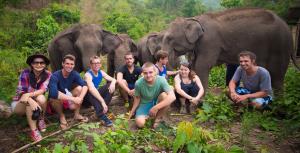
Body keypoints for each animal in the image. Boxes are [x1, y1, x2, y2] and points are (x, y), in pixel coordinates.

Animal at [162, 7, 298, 91]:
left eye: (169, 38)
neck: (193, 18)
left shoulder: (210, 42)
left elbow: (203, 65)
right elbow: (195, 65)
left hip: (280, 47)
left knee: (277, 76)